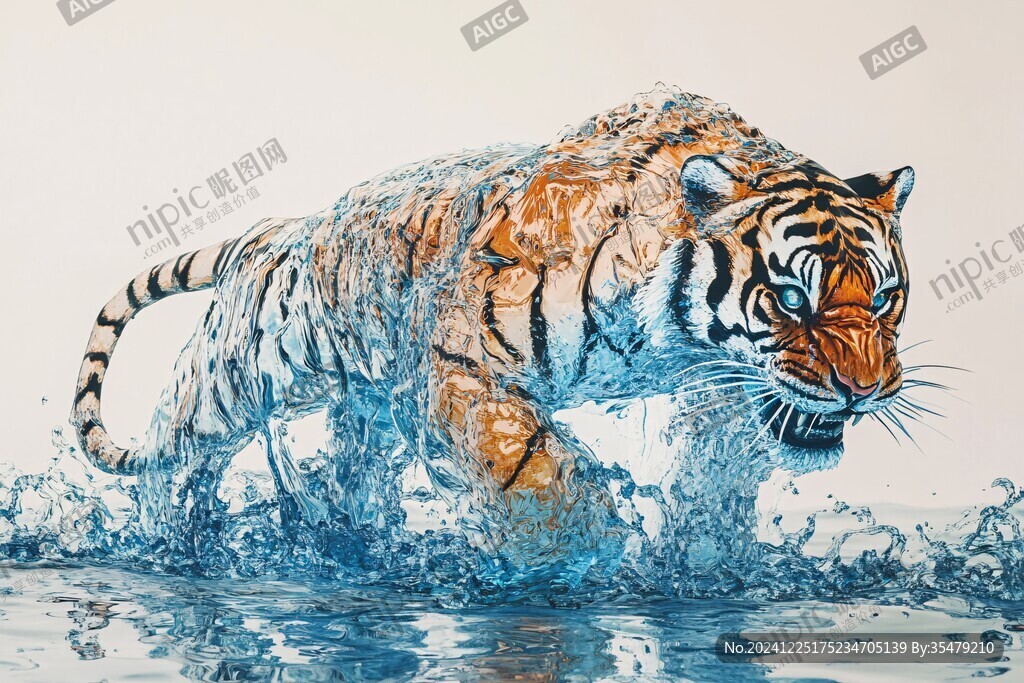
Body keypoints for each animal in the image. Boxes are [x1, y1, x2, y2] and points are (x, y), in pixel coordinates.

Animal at [71, 86, 914, 537]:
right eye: (793, 297)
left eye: (881, 296)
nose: (861, 391)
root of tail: (277, 227)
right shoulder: (458, 358)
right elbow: (532, 469)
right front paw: (582, 552)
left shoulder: (720, 383)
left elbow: (714, 473)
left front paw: (701, 553)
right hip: (234, 380)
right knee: (173, 454)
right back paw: (170, 541)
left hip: (362, 408)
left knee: (350, 476)